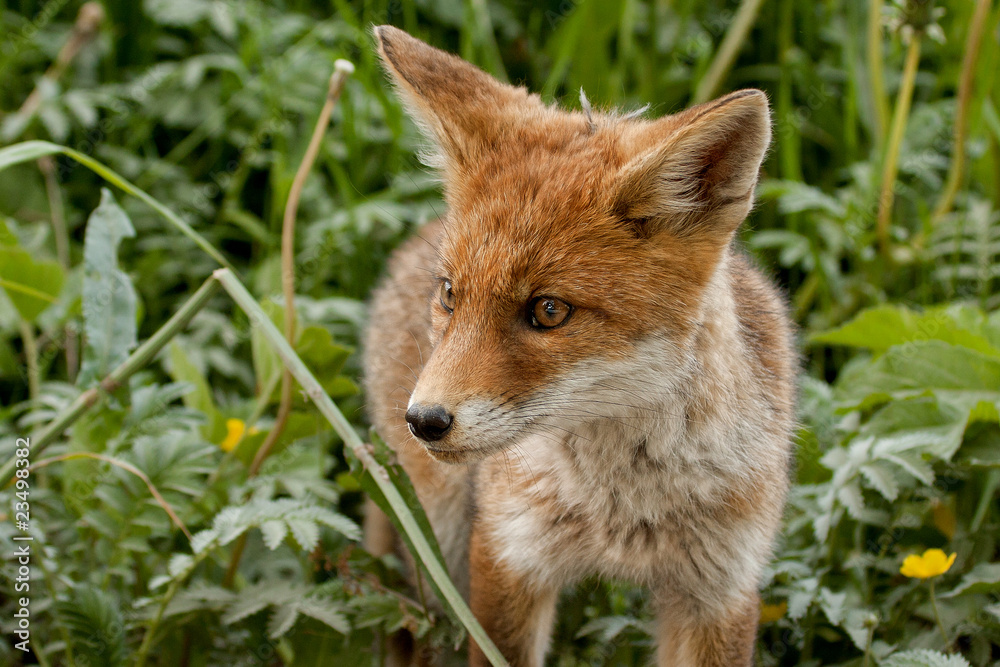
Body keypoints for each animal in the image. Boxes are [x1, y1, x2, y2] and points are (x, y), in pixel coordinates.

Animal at [362, 25, 796, 667]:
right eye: (450, 294)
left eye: (549, 311)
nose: (425, 421)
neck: (620, 514)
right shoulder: (509, 554)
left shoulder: (720, 590)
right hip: (436, 540)